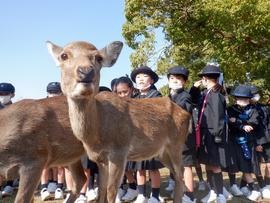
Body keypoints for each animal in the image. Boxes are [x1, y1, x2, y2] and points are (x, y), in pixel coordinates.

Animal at [47, 40, 191, 202]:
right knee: (177, 174)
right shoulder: (100, 159)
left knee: (181, 172)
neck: (97, 134)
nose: (86, 71)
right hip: (162, 152)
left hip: (176, 144)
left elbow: (111, 191)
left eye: (98, 57)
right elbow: (102, 189)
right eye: (63, 55)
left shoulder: (120, 151)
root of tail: (186, 114)